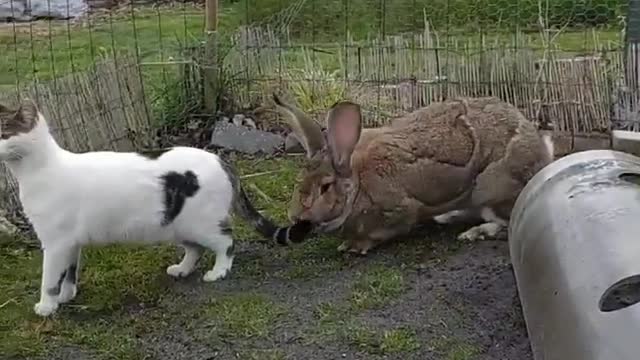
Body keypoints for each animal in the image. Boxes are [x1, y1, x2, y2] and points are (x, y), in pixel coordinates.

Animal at [0, 100, 312, 316]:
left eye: (3, 132)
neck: (39, 171)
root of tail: (220, 159)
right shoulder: (70, 243)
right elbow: (69, 272)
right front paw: (66, 296)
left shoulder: (55, 243)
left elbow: (50, 278)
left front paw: (47, 306)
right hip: (177, 225)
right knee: (195, 249)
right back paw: (182, 269)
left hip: (202, 224)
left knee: (227, 243)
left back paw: (219, 272)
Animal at [272, 94, 552, 255]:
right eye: (299, 182)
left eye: (326, 187)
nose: (295, 216)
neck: (358, 183)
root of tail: (540, 154)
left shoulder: (396, 212)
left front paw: (353, 247)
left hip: (491, 189)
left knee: (503, 222)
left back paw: (472, 233)